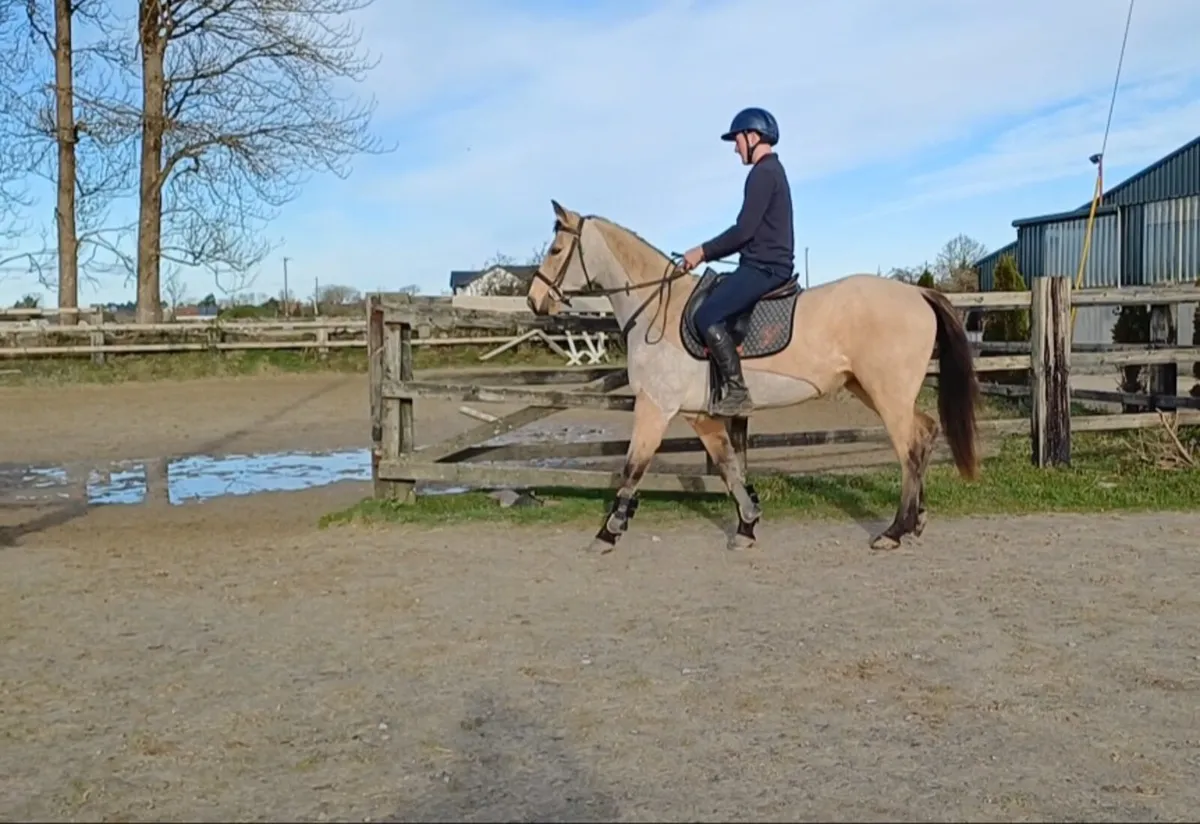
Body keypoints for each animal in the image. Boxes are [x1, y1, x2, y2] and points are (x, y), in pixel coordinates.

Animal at [526, 199, 981, 553]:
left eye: (556, 248)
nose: (534, 301)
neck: (659, 308)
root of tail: (916, 292)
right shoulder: (697, 414)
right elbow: (729, 465)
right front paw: (747, 523)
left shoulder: (656, 407)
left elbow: (634, 467)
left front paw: (609, 532)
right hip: (877, 391)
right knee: (924, 434)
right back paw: (916, 520)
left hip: (887, 395)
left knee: (909, 450)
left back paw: (895, 530)